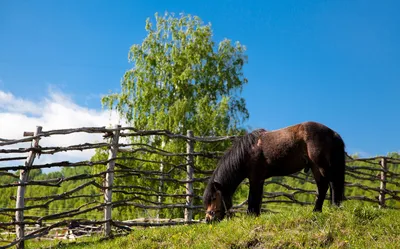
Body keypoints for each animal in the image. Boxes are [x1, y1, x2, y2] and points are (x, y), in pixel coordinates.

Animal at [205, 120, 346, 222]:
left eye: (213, 198)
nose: (208, 219)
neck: (247, 151)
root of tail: (333, 133)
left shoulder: (254, 178)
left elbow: (252, 199)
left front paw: (250, 216)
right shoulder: (260, 179)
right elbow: (257, 199)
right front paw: (255, 216)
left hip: (321, 166)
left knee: (331, 184)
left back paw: (329, 208)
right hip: (315, 167)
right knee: (324, 187)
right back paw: (320, 210)